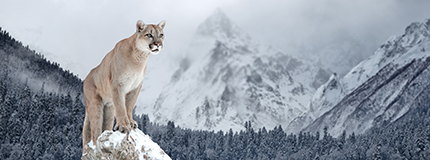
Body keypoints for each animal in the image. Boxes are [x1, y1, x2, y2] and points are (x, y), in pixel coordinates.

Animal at [81, 19, 165, 151]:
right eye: (149, 35)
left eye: (161, 35)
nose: (158, 44)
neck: (139, 59)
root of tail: (86, 77)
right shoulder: (118, 85)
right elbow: (121, 106)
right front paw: (124, 126)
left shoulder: (135, 87)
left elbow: (129, 105)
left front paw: (131, 122)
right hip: (95, 104)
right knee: (95, 131)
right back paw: (98, 143)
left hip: (109, 109)